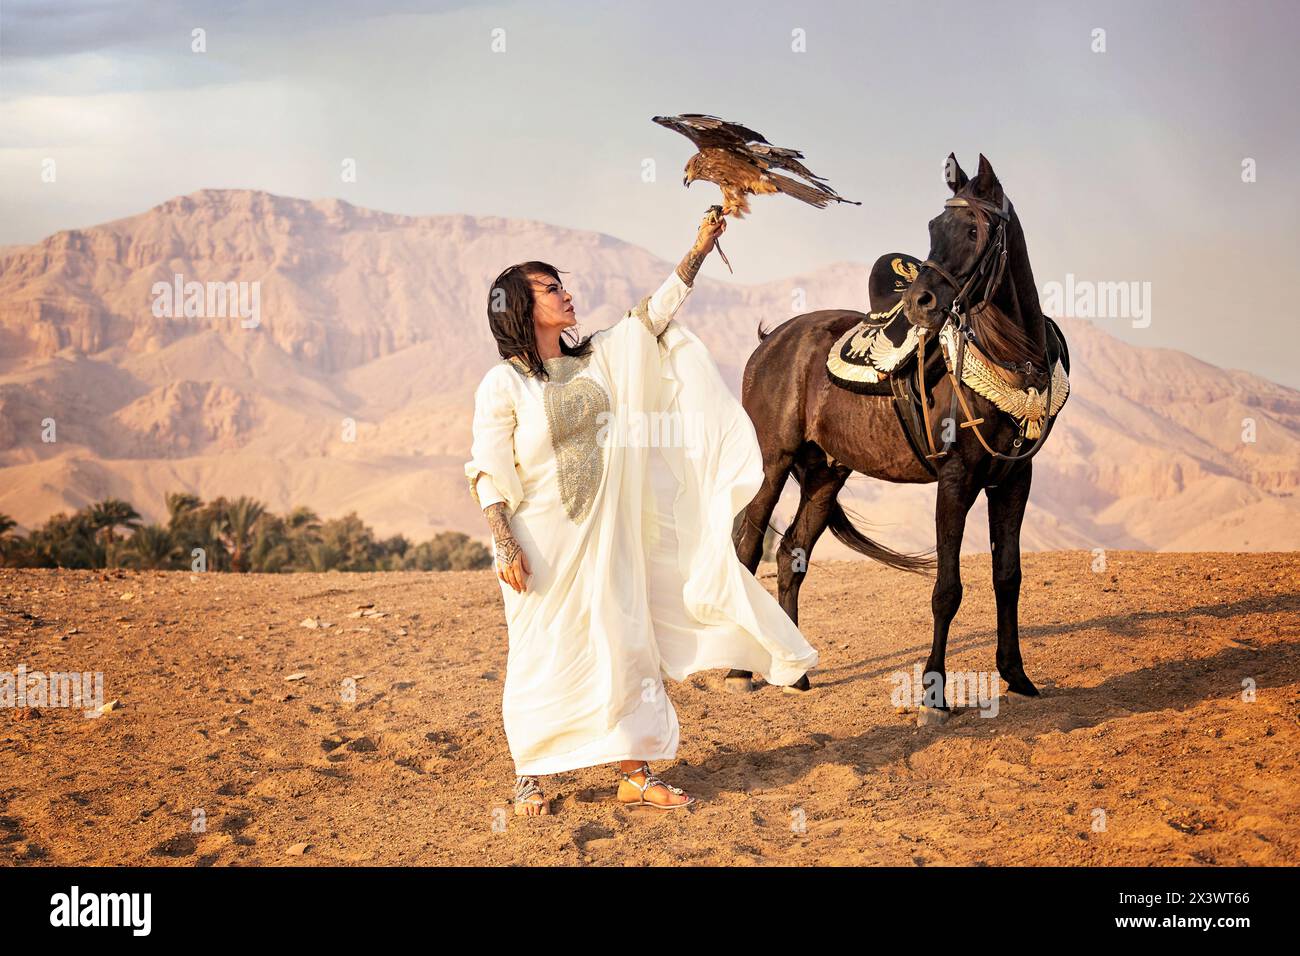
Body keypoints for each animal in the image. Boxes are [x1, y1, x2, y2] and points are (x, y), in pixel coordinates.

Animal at [730, 153, 1070, 722]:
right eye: (934, 227)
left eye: (975, 229)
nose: (920, 302)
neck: (1010, 358)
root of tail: (771, 340)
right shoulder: (955, 480)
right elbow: (947, 590)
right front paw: (934, 694)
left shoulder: (1013, 480)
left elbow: (1008, 576)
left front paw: (1016, 675)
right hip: (775, 461)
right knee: (750, 539)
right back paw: (738, 670)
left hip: (825, 472)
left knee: (791, 553)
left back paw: (796, 672)